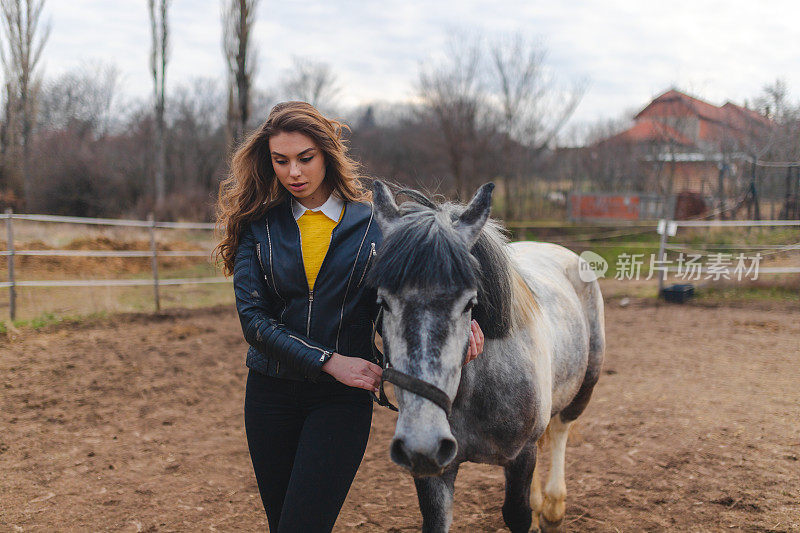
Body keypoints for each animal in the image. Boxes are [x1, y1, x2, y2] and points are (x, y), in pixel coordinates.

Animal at [368, 181, 608, 528]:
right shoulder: (435, 473)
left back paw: (552, 507)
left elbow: (518, 514)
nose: (421, 442)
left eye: (470, 302)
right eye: (382, 302)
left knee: (561, 429)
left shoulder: (521, 455)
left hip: (586, 383)